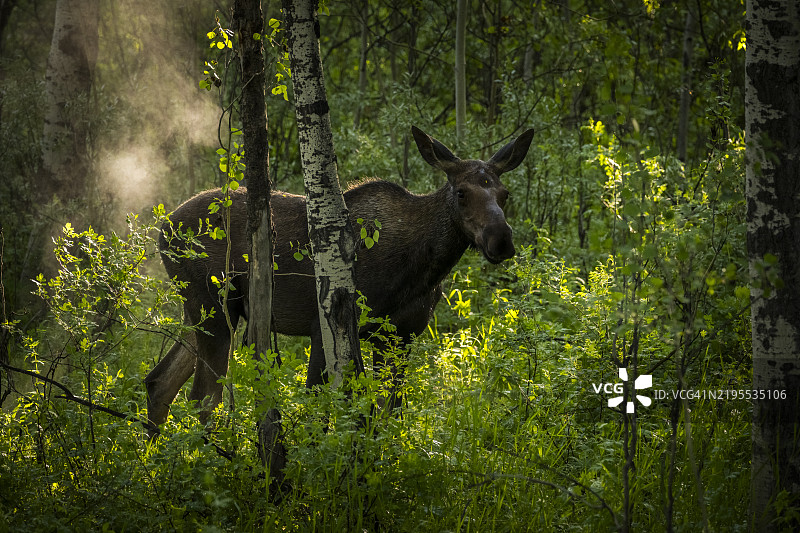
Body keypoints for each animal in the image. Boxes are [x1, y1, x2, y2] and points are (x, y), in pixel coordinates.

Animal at [144, 126, 534, 428]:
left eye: (505, 193)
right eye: (462, 192)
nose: (501, 240)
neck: (420, 270)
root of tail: (162, 229)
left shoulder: (402, 336)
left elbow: (386, 415)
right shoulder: (325, 325)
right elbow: (321, 410)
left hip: (208, 312)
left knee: (159, 381)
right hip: (212, 306)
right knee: (204, 397)